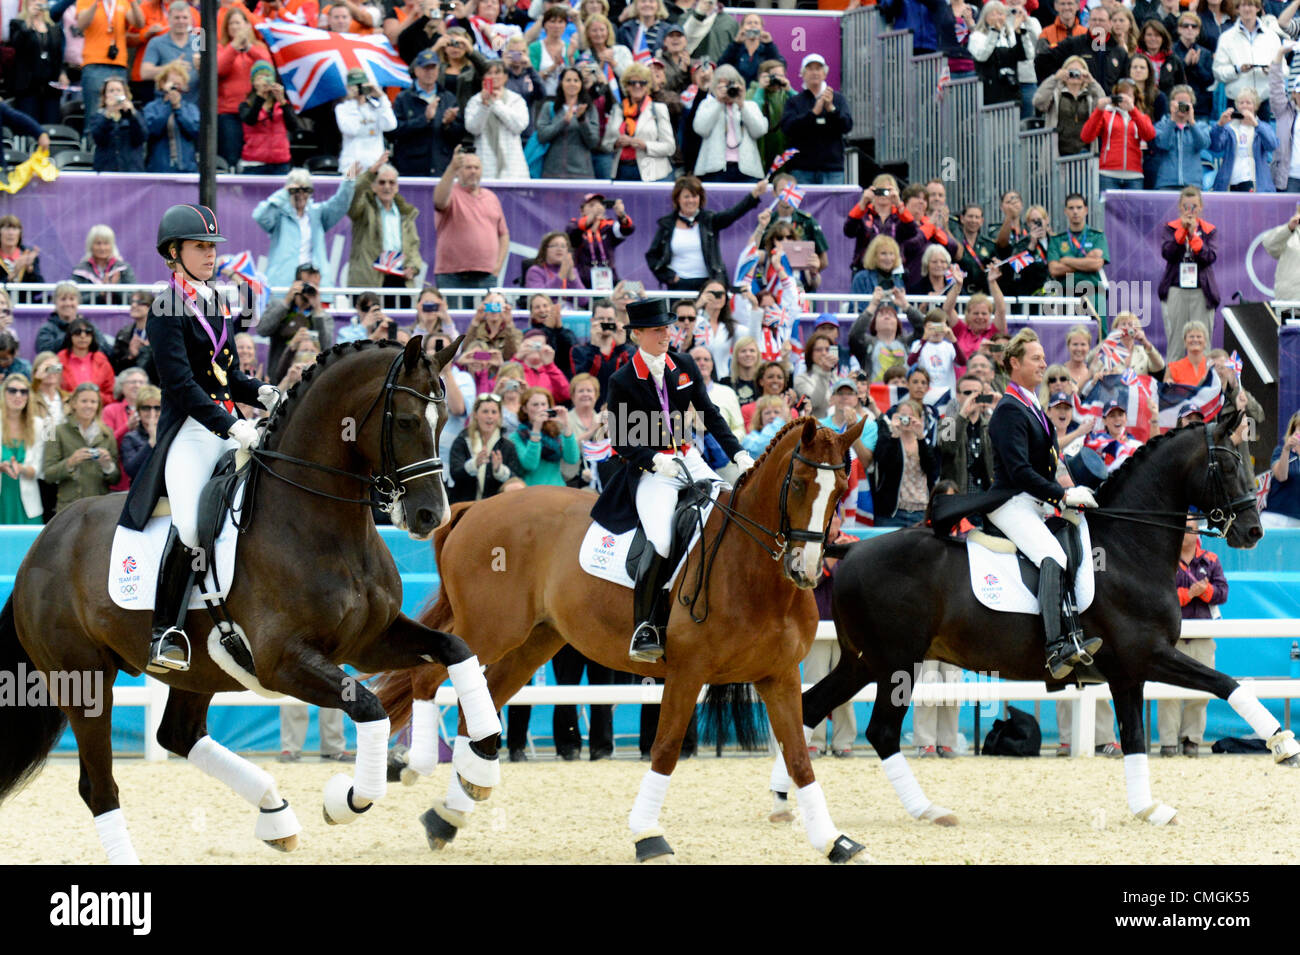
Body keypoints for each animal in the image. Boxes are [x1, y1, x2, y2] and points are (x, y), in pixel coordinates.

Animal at [0, 337, 501, 867]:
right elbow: (368, 708)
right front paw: (345, 798)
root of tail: (42, 543)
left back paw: (274, 814)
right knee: (99, 787)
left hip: (198, 671)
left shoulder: (368, 642)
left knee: (177, 735)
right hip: (85, 681)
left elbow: (456, 650)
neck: (322, 523)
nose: (430, 515)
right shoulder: (283, 662)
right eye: (405, 420)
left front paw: (481, 762)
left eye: (443, 421)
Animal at [371, 418, 868, 867]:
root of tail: (474, 508)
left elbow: (799, 759)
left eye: (840, 489)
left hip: (533, 643)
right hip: (491, 630)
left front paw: (835, 842)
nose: (805, 569)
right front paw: (649, 837)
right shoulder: (687, 673)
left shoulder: (779, 676)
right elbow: (665, 751)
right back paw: (415, 766)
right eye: (799, 484)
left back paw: (451, 810)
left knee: (481, 705)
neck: (753, 571)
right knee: (427, 675)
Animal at [774, 410, 1294, 836]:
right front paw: (1282, 743)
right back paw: (929, 811)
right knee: (880, 731)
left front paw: (1148, 808)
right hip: (896, 663)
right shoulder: (1148, 655)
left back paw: (784, 801)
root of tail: (850, 550)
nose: (1253, 531)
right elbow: (1227, 684)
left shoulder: (1128, 673)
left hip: (863, 661)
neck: (1129, 547)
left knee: (808, 708)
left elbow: (1134, 739)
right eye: (1229, 464)